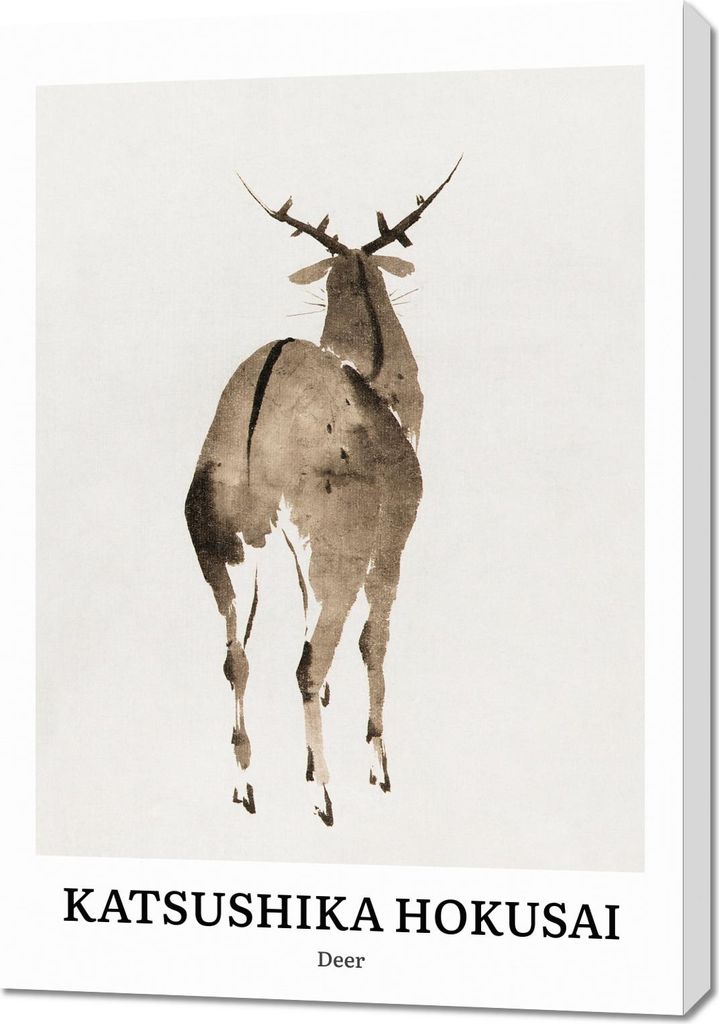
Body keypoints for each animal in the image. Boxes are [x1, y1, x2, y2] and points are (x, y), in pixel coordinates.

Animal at [185, 158, 461, 826]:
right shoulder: (391, 541)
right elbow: (373, 641)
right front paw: (378, 768)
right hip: (334, 548)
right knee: (309, 660)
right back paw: (324, 796)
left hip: (217, 545)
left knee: (236, 658)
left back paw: (245, 786)